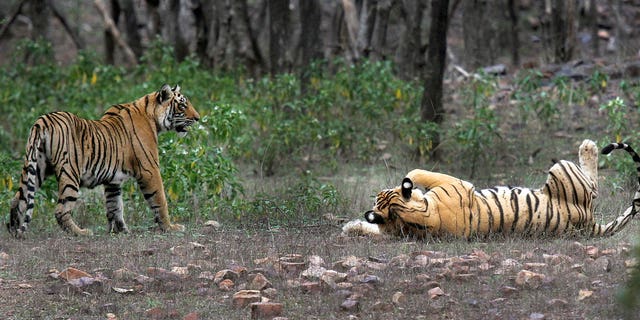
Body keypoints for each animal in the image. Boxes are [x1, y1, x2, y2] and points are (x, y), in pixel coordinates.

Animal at [6, 84, 199, 236]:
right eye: (182, 105)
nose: (197, 118)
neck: (152, 116)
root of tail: (43, 120)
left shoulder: (113, 180)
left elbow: (115, 206)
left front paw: (121, 231)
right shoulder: (149, 169)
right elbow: (160, 200)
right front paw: (170, 227)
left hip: (36, 167)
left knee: (18, 199)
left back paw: (14, 230)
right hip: (70, 172)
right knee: (61, 209)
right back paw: (81, 232)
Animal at [344, 139, 640, 239]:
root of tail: (588, 223)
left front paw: (351, 227)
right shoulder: (456, 183)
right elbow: (418, 173)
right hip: (562, 169)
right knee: (593, 185)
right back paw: (589, 146)